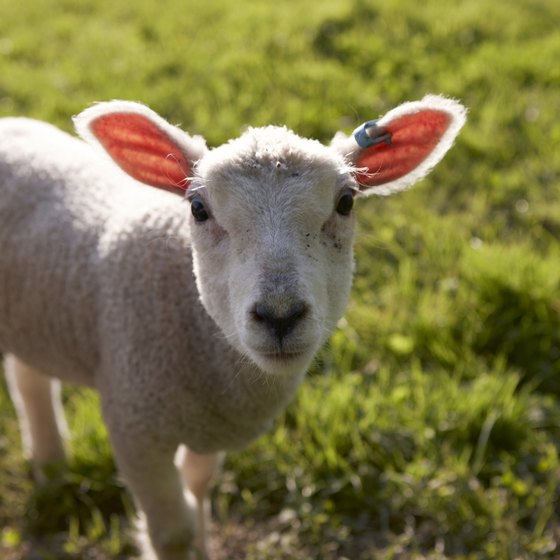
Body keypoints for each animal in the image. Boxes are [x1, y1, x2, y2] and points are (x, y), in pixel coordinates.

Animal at [0, 94, 464, 556]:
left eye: (346, 202)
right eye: (198, 209)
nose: (280, 315)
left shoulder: (211, 424)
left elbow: (198, 486)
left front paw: (204, 546)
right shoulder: (134, 424)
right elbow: (173, 532)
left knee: (28, 374)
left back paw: (50, 466)